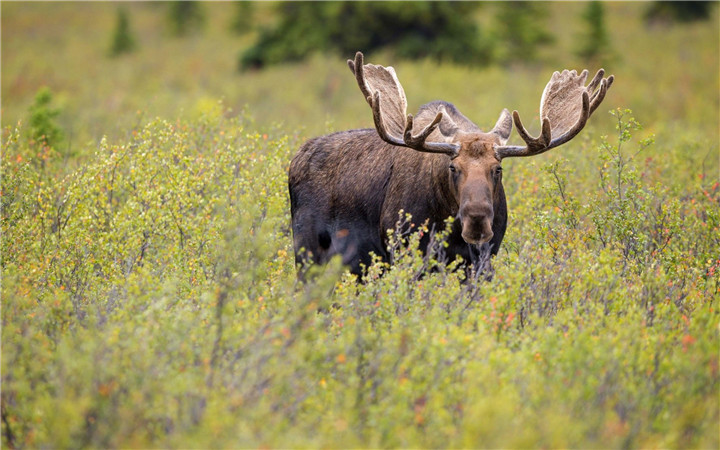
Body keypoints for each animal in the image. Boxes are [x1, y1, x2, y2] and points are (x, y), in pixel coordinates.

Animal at [286, 51, 612, 278]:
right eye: (453, 168)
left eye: (498, 169)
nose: (477, 218)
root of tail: (296, 158)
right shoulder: (405, 253)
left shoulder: (482, 260)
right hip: (307, 252)